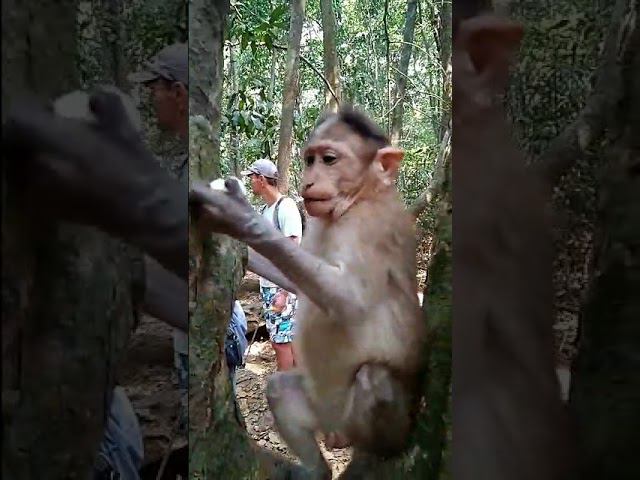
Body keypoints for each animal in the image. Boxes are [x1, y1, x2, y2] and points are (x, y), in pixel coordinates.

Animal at [190, 106, 425, 479]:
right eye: (310, 159)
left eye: (329, 159)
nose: (308, 182)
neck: (355, 202)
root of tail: (337, 431)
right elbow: (299, 284)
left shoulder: (373, 227)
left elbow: (349, 301)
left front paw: (238, 214)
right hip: (319, 407)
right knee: (280, 390)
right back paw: (317, 470)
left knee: (374, 379)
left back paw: (379, 450)